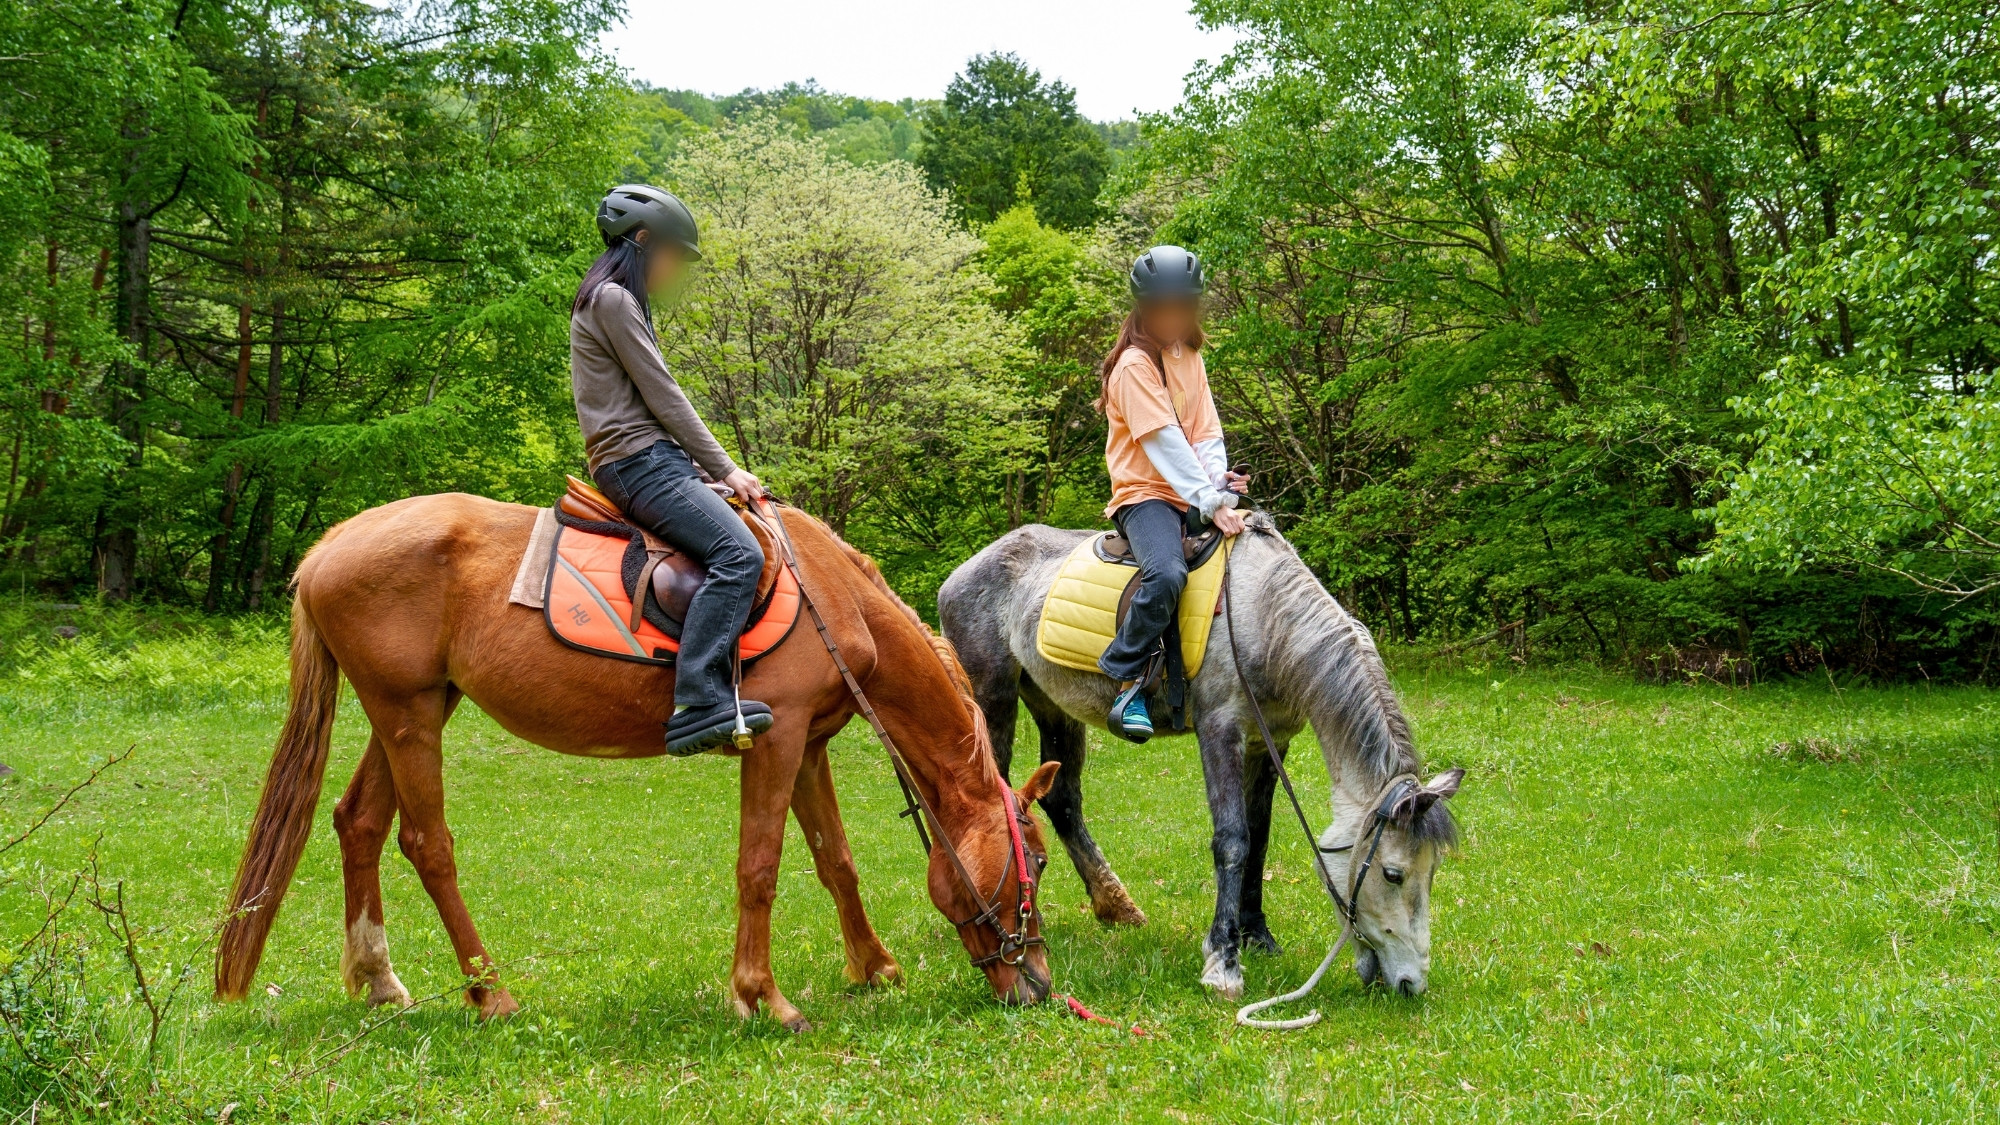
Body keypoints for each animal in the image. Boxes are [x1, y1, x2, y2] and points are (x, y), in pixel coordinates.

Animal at [212, 493, 1060, 1030]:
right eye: (1039, 862)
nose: (1040, 984)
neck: (832, 596)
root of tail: (330, 544)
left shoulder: (809, 743)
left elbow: (835, 860)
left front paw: (873, 967)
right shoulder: (778, 736)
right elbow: (761, 863)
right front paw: (762, 996)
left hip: (416, 707)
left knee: (357, 820)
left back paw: (380, 980)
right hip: (409, 713)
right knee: (428, 845)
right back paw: (490, 993)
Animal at [938, 513, 1462, 1000]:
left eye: (1433, 871)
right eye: (1393, 874)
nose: (1411, 983)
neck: (1265, 616)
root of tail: (959, 575)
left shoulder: (1270, 742)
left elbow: (1260, 836)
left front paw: (1256, 935)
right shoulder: (1220, 728)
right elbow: (1233, 840)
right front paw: (1223, 961)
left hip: (1052, 702)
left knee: (1062, 800)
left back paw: (1115, 903)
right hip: (993, 698)